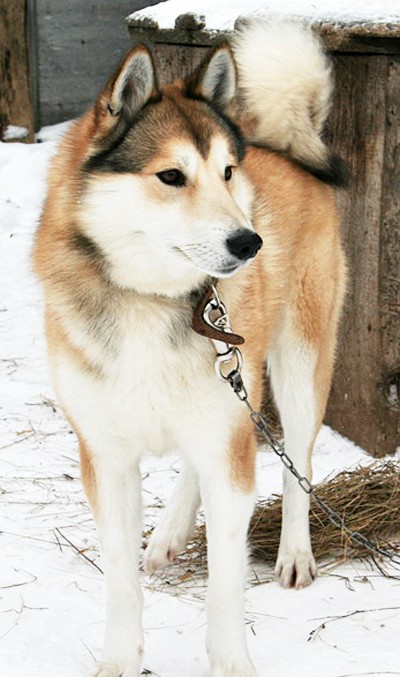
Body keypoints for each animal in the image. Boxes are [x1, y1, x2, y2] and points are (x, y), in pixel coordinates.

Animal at [33, 18, 346, 677]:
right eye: (171, 176)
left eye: (227, 172)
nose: (250, 242)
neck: (152, 300)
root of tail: (283, 144)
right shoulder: (106, 456)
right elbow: (121, 580)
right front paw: (119, 660)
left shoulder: (228, 446)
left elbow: (225, 586)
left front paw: (231, 664)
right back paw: (170, 533)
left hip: (297, 362)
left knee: (298, 460)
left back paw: (295, 554)